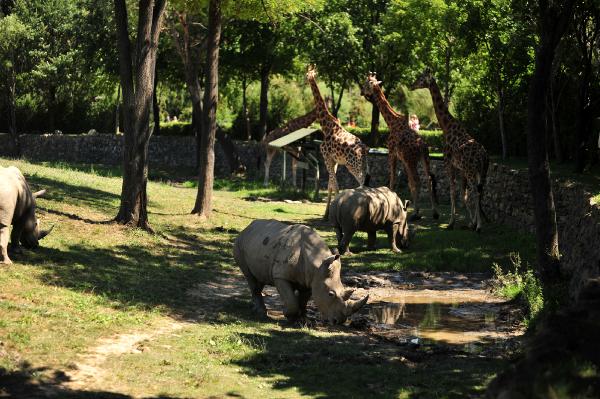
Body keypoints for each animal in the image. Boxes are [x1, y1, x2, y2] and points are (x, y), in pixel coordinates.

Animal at [304, 67, 370, 220]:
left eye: (307, 73)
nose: (305, 79)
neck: (326, 126)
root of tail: (364, 149)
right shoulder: (334, 161)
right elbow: (330, 185)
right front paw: (326, 214)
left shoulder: (326, 157)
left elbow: (335, 185)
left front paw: (334, 213)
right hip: (363, 164)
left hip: (353, 165)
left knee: (362, 183)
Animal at [360, 73, 440, 220]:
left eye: (366, 83)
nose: (362, 92)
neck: (391, 122)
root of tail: (421, 145)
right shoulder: (403, 159)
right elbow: (407, 183)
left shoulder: (392, 153)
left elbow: (393, 179)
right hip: (424, 158)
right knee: (428, 180)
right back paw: (434, 213)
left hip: (411, 160)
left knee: (418, 181)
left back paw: (416, 213)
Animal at [410, 68, 490, 231]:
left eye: (421, 78)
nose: (411, 85)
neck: (446, 126)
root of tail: (483, 156)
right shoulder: (460, 168)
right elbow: (462, 193)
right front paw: (470, 222)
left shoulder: (448, 162)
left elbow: (453, 191)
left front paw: (451, 222)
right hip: (481, 170)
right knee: (480, 191)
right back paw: (477, 223)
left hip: (472, 170)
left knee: (475, 191)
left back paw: (479, 226)